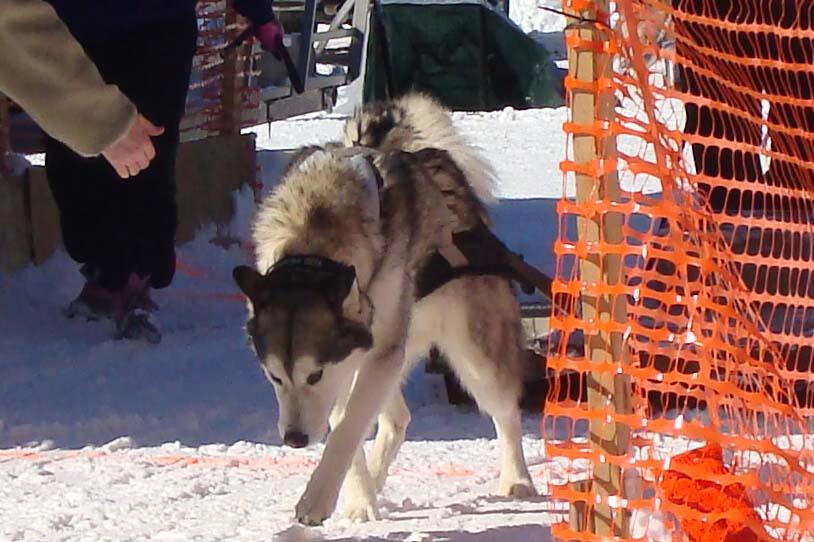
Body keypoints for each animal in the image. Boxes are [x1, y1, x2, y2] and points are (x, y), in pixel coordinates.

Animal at [234, 94, 536, 528]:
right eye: (274, 376)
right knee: (395, 420)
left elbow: (347, 428)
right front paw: (358, 498)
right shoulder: (352, 362)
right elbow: (348, 426)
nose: (294, 440)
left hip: (472, 353)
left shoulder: (366, 360)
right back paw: (373, 485)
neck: (315, 233)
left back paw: (517, 479)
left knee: (505, 410)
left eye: (313, 375)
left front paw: (317, 498)